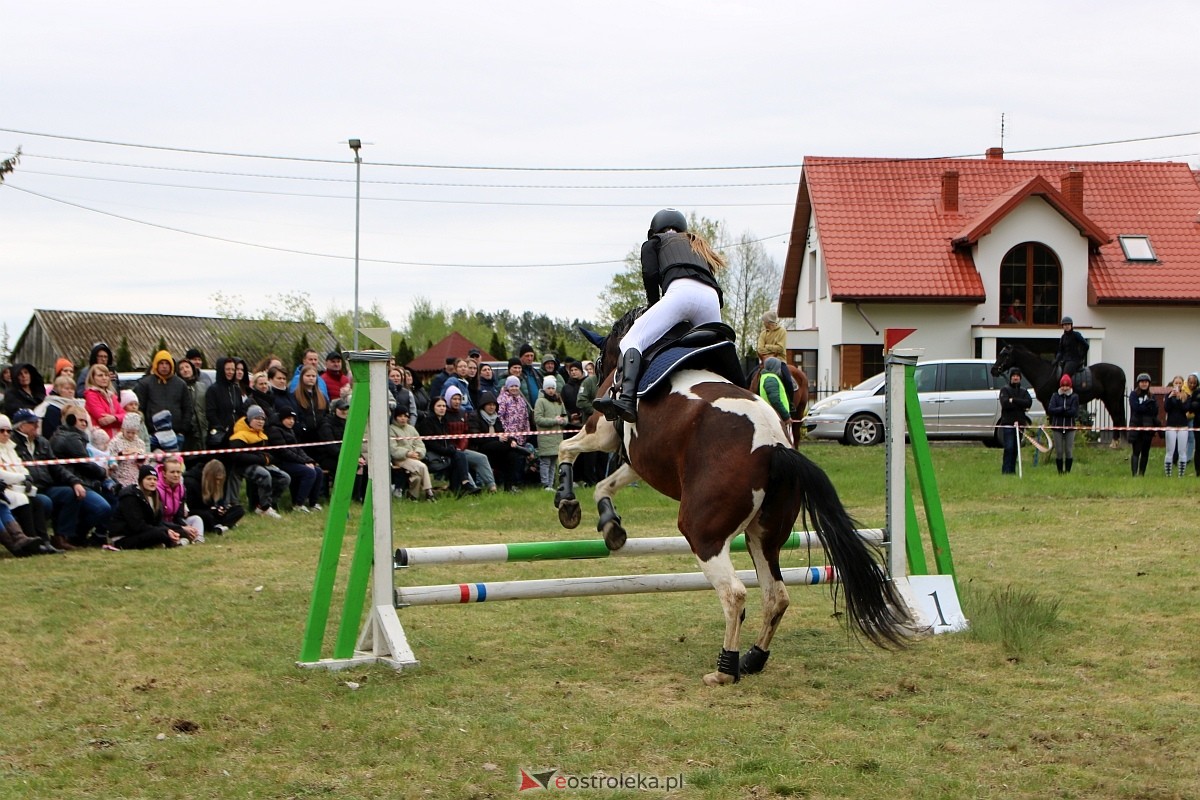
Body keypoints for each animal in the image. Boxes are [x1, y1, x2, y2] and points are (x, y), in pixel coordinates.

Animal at [552, 309, 907, 686]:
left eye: (598, 362)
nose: (592, 387)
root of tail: (776, 446)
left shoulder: (603, 431)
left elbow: (567, 448)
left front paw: (567, 503)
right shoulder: (638, 461)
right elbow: (604, 486)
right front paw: (611, 526)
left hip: (702, 532)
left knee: (734, 594)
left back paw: (725, 668)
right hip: (764, 537)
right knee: (775, 596)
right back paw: (753, 659)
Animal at [988, 345, 1128, 443]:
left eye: (1004, 354)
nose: (993, 370)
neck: (1042, 372)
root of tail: (1121, 371)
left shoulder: (1048, 402)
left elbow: (1052, 421)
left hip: (1112, 399)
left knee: (1117, 417)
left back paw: (1115, 443)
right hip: (1109, 400)